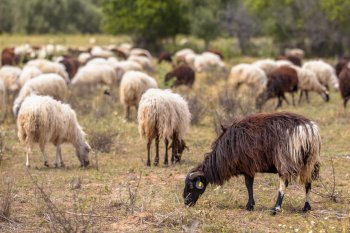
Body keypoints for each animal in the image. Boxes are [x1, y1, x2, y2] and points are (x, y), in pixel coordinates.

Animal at [185, 112, 322, 214]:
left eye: (191, 186)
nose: (186, 203)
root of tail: (308, 129)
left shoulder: (248, 166)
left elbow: (248, 185)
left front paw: (249, 206)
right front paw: (250, 205)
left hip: (286, 159)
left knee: (284, 183)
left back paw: (276, 208)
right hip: (309, 162)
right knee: (308, 183)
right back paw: (306, 207)